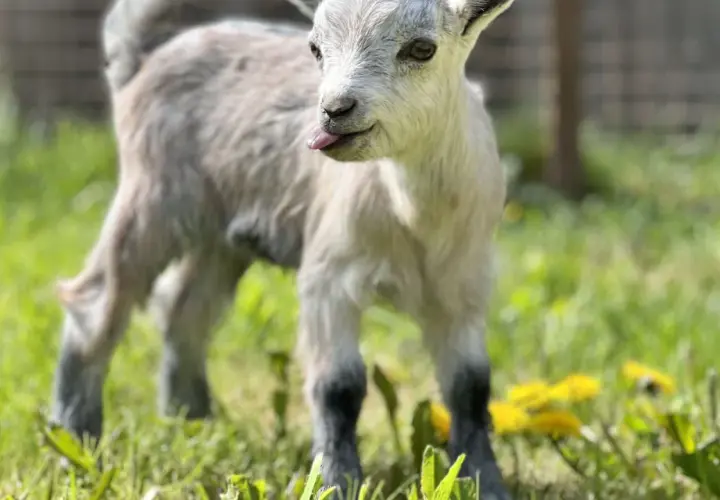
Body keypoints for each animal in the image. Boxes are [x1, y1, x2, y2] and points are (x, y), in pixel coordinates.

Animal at [49, 0, 515, 498]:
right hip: (154, 194)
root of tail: (143, 60)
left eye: (422, 49)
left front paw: (485, 481)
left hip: (220, 234)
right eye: (315, 48)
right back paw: (76, 441)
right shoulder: (330, 278)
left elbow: (470, 388)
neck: (413, 213)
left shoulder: (463, 287)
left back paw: (191, 423)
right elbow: (338, 388)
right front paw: (337, 483)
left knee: (184, 310)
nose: (334, 110)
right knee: (98, 302)